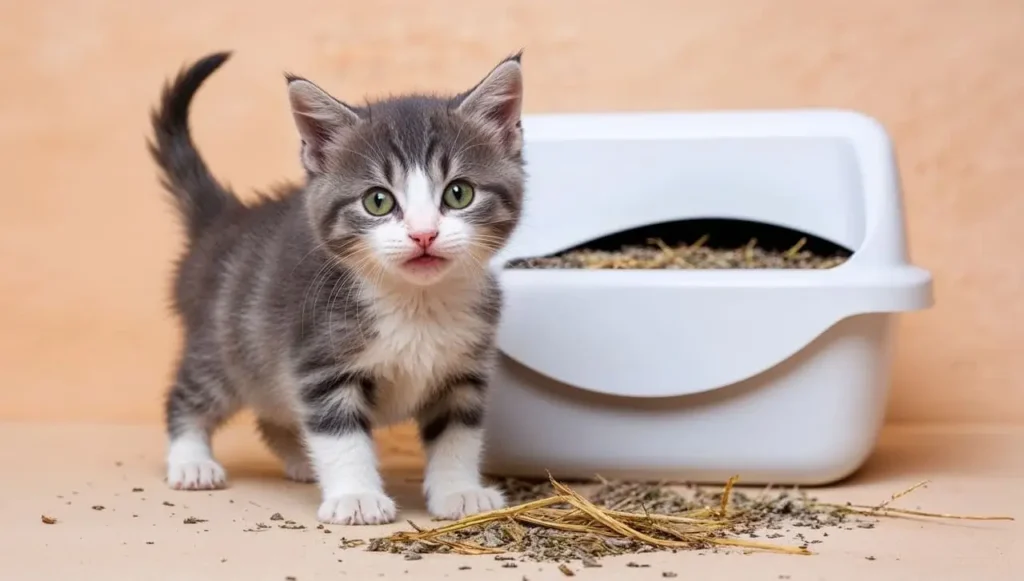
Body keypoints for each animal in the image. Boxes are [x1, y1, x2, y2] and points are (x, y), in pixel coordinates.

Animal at [148, 52, 528, 528]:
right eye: (378, 201)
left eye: (459, 193)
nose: (423, 234)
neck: (416, 304)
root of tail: (223, 219)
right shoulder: (320, 363)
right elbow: (339, 436)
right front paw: (357, 497)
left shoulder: (463, 372)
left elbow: (457, 434)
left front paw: (459, 491)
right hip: (224, 347)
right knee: (186, 396)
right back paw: (192, 462)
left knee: (273, 417)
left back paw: (299, 460)